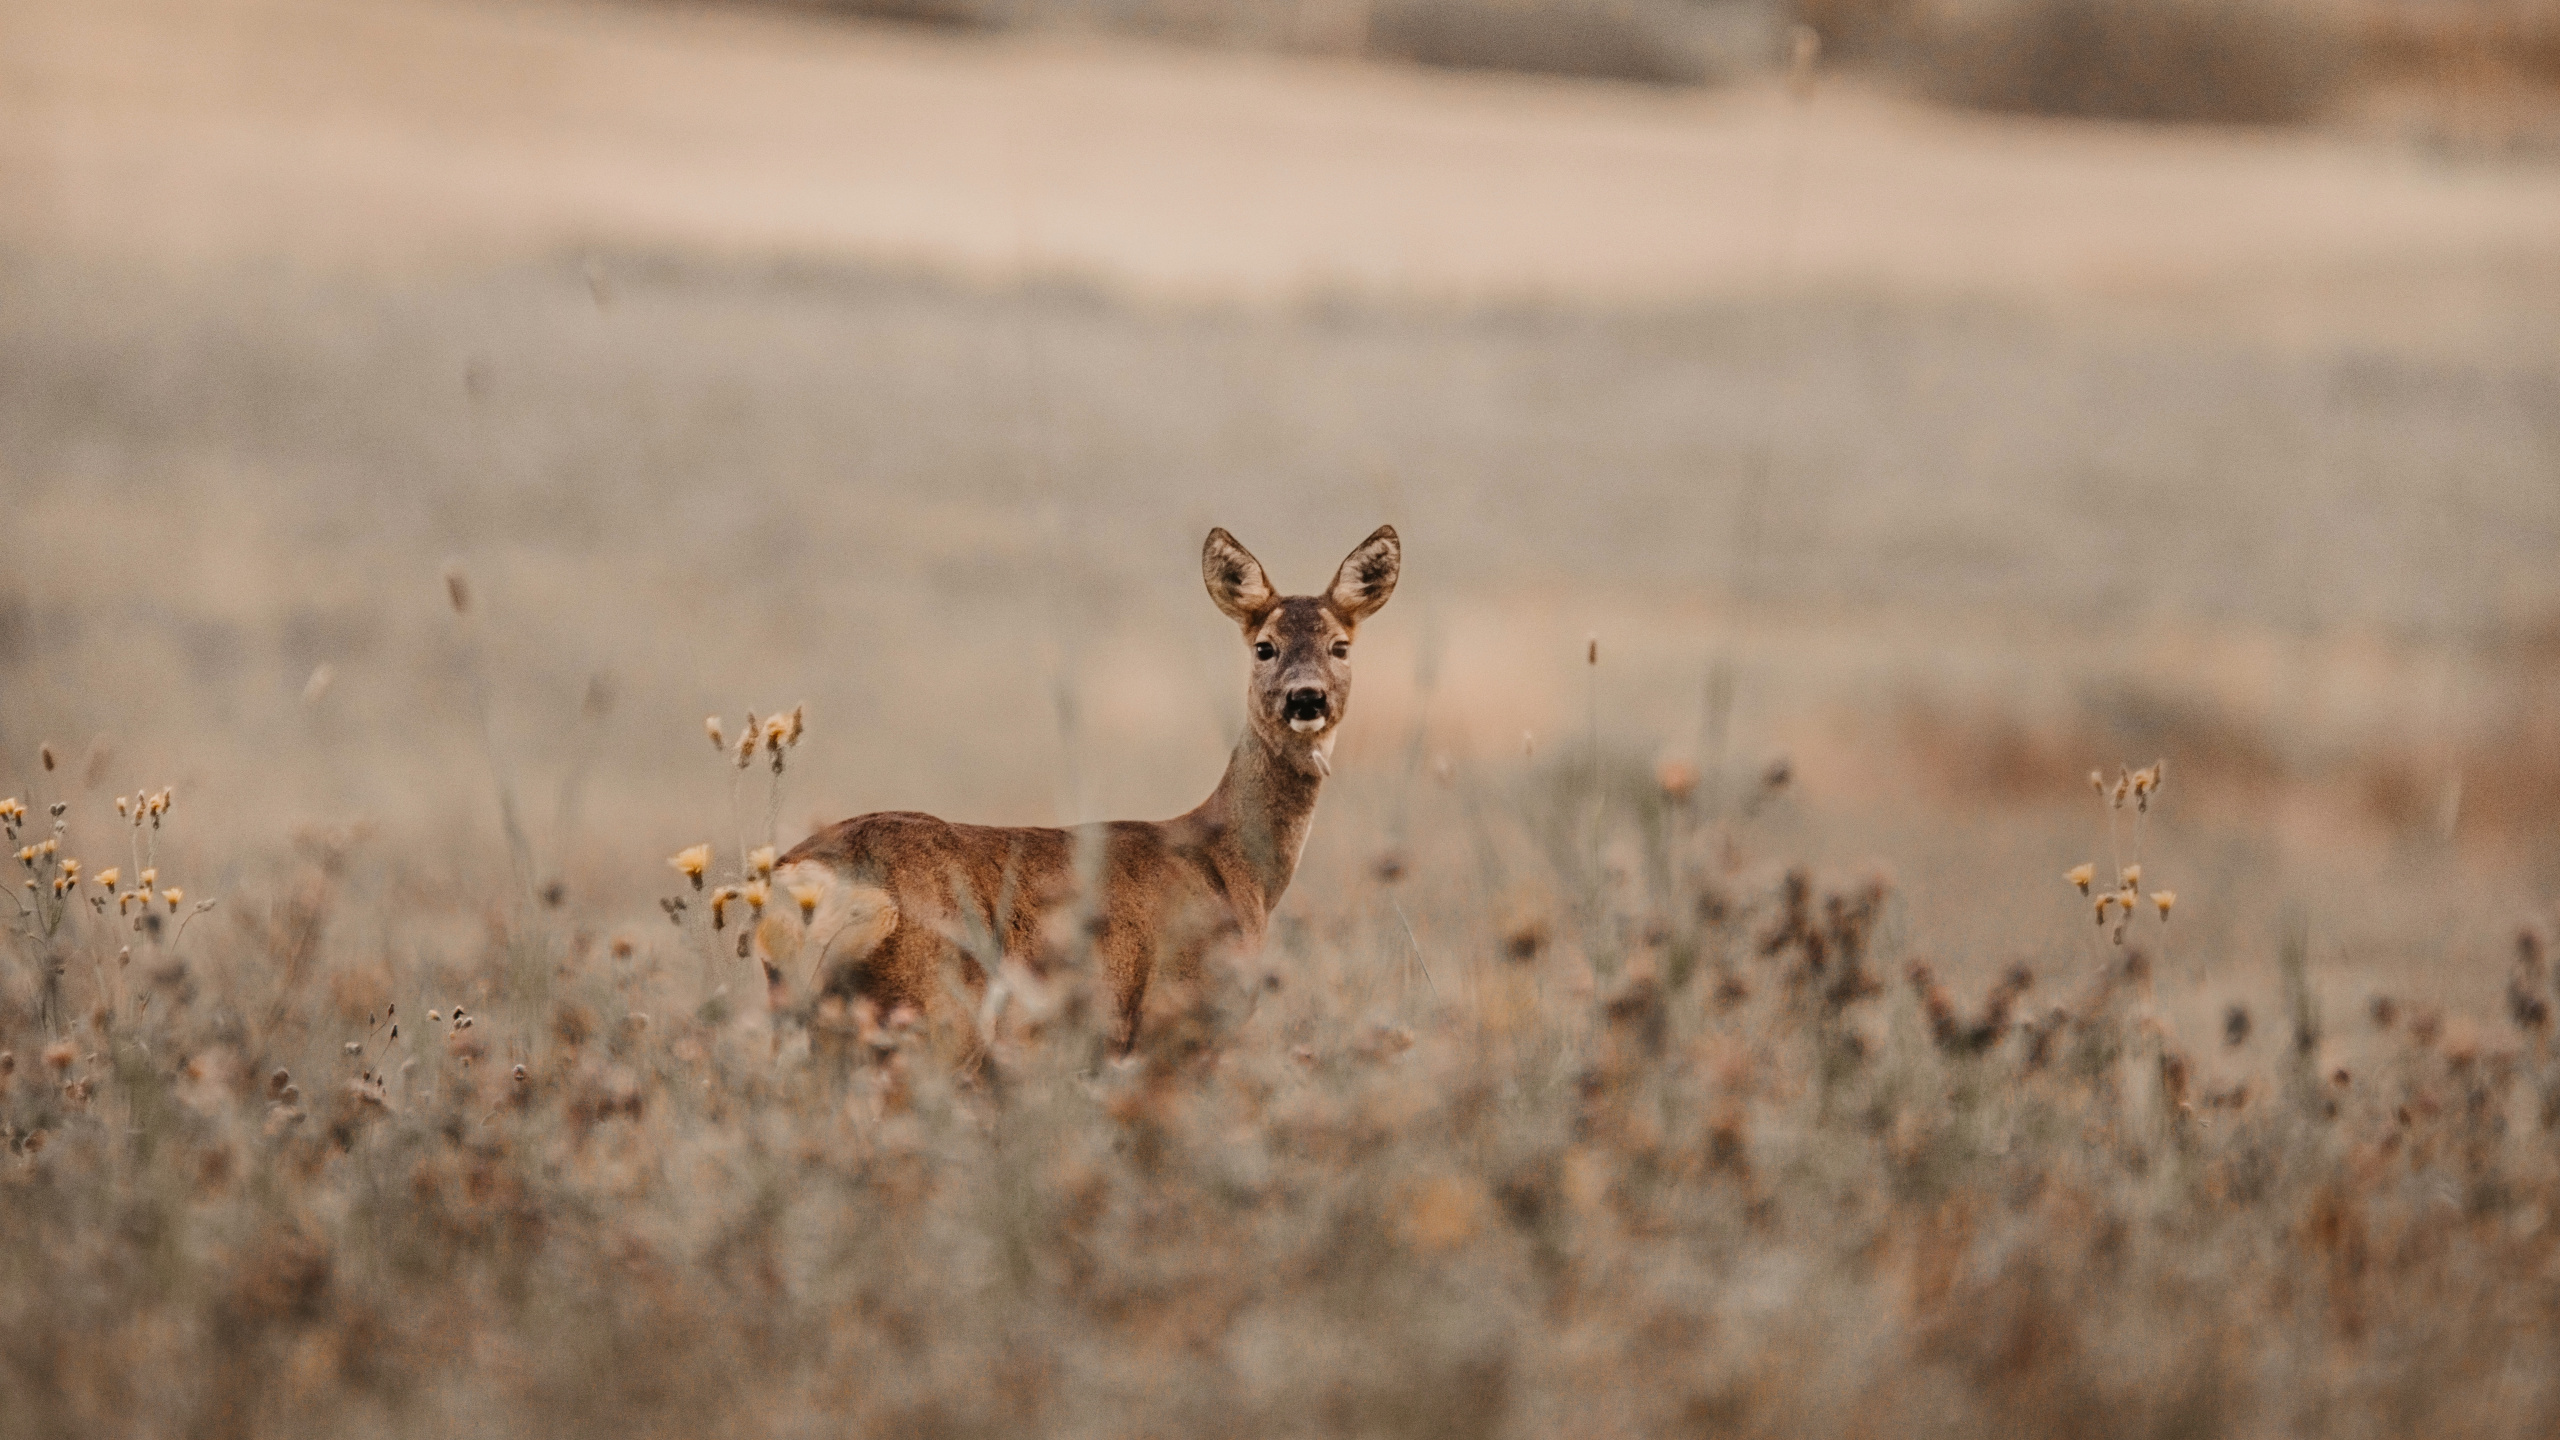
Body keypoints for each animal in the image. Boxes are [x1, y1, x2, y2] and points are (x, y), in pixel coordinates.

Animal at [752, 520, 1402, 1050]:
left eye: (1340, 646)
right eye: (1264, 647)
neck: (1233, 867)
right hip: (927, 1007)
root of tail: (801, 877)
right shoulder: (1173, 1020)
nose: (1306, 697)